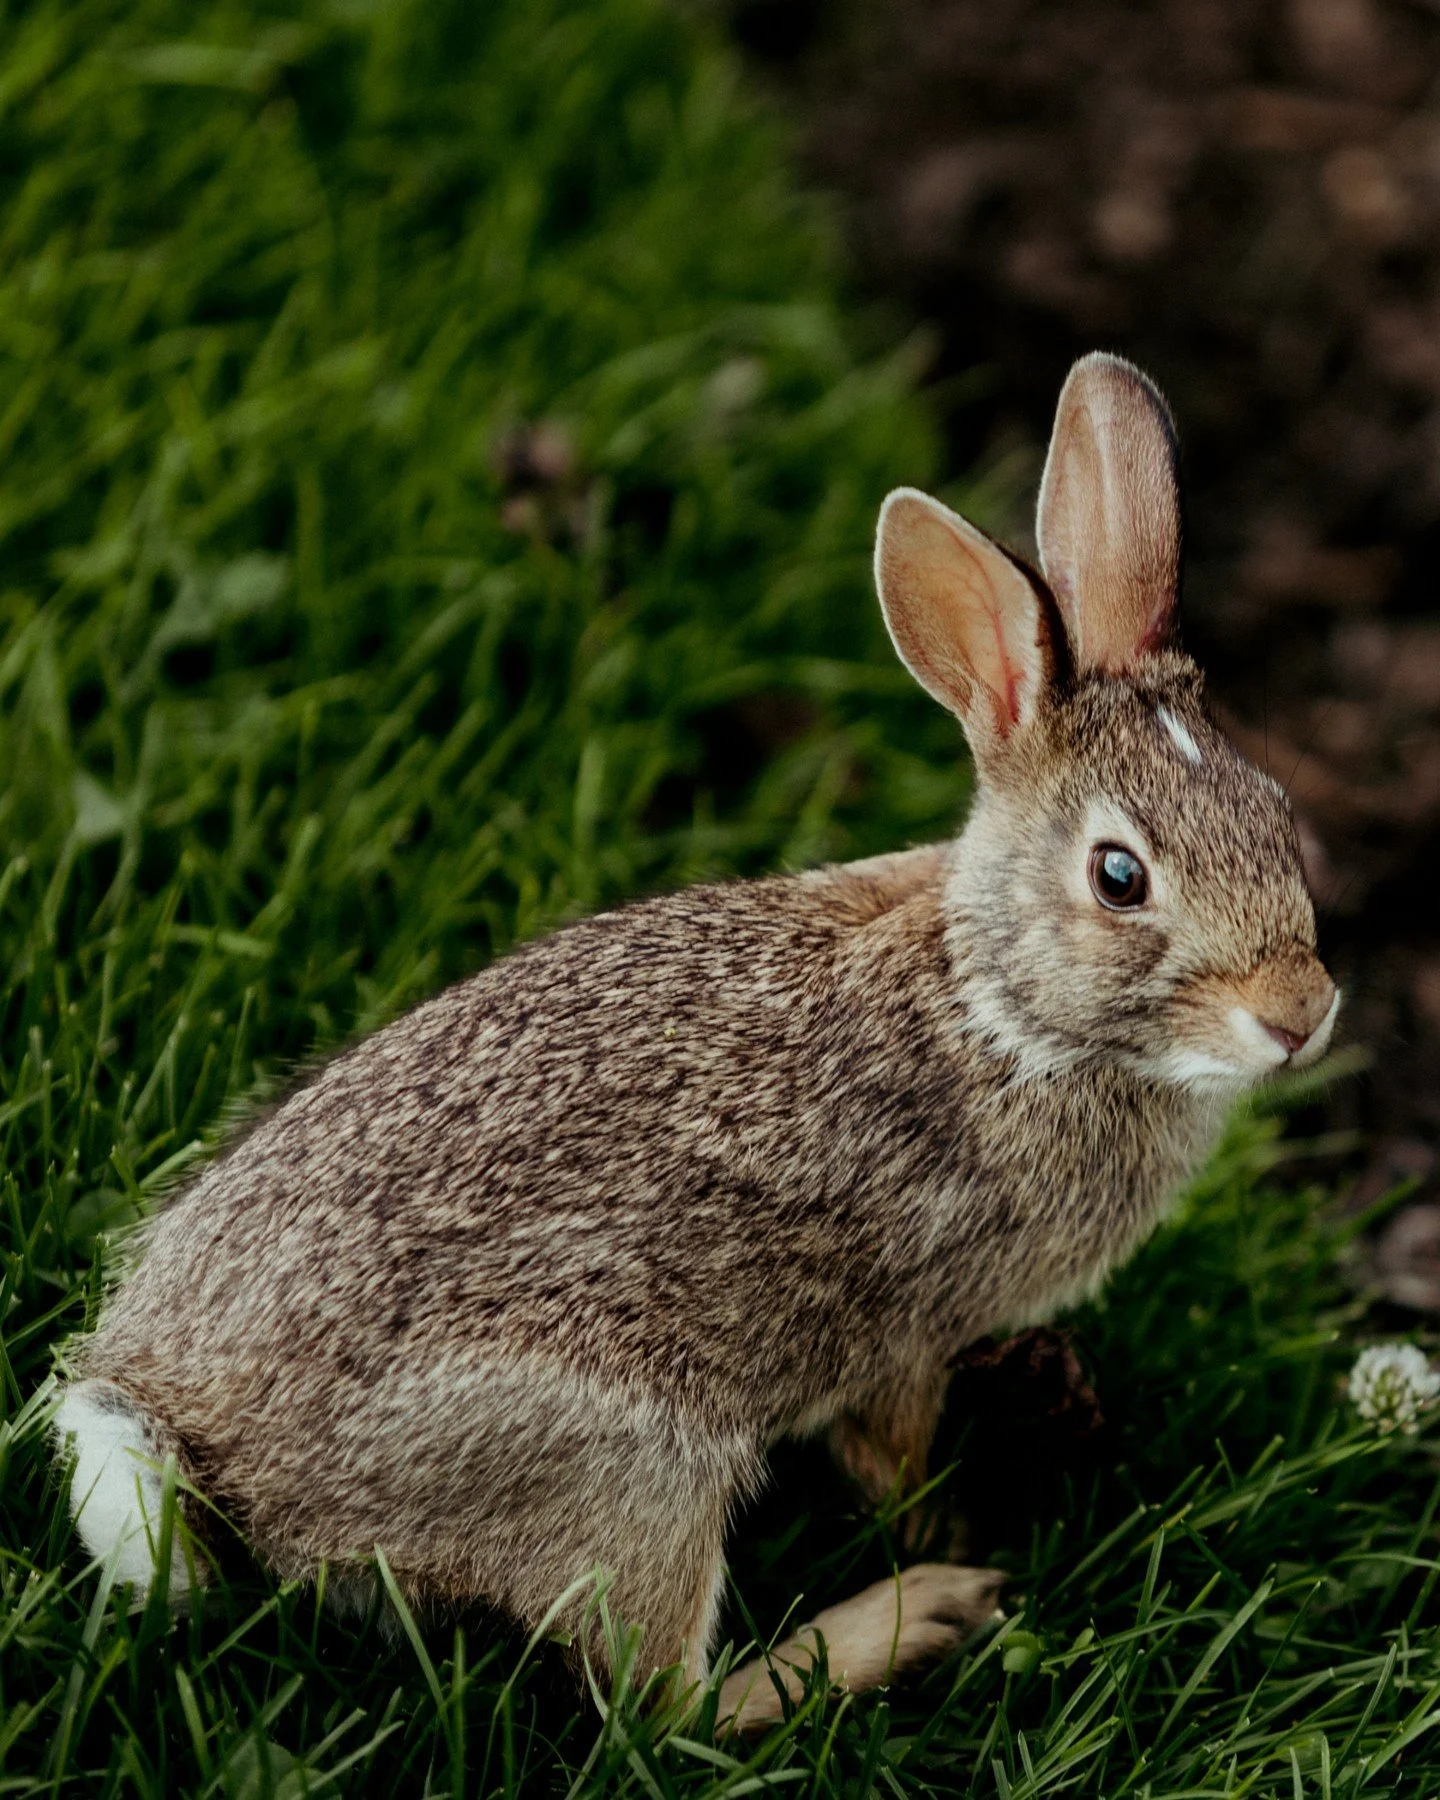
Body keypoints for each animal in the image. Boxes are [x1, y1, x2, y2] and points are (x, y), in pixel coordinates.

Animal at [53, 353, 1338, 1732]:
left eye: (1277, 813)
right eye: (1119, 877)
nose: (1301, 1013)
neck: (997, 1004)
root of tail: (210, 1466)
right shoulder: (905, 1337)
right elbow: (891, 1462)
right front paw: (945, 1534)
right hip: (632, 1470)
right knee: (667, 1711)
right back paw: (912, 1616)